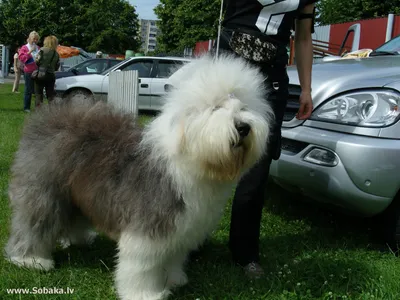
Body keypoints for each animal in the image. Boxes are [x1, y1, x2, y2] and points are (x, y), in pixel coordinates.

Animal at [4, 54, 274, 300]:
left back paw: (79, 239)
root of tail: (49, 114)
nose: (243, 127)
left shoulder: (180, 226)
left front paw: (175, 279)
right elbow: (143, 264)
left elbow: (173, 256)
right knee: (35, 220)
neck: (191, 156)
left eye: (243, 108)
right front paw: (145, 293)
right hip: (44, 188)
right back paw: (31, 259)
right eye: (216, 107)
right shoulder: (150, 224)